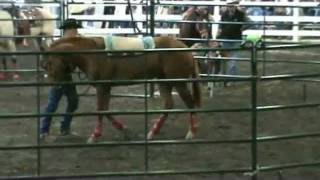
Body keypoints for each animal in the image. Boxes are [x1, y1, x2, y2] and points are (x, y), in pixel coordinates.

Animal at [43, 36, 201, 142]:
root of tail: (186, 49)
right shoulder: (106, 88)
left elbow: (100, 111)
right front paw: (124, 131)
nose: (54, 85)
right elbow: (106, 111)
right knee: (168, 105)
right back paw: (152, 132)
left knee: (190, 103)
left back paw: (192, 133)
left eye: (49, 64)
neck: (92, 55)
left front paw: (94, 136)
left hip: (179, 83)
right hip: (163, 81)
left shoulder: (102, 87)